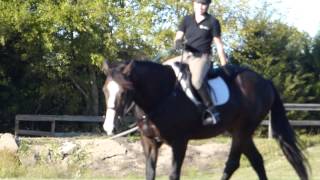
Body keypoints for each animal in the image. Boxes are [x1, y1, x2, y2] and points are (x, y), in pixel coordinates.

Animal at [101, 59, 308, 179]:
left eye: (125, 91)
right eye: (105, 90)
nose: (109, 127)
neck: (162, 96)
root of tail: (265, 81)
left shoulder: (179, 142)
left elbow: (174, 174)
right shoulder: (149, 142)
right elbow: (150, 173)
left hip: (242, 131)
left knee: (232, 163)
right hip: (240, 131)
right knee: (256, 160)